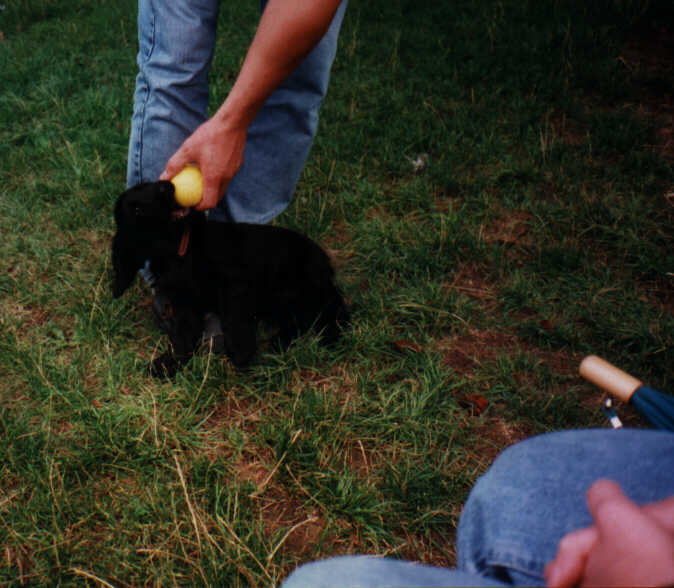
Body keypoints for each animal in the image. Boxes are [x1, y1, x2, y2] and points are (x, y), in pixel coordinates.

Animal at [111, 180, 350, 376]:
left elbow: (233, 315)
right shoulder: (182, 300)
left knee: (331, 307)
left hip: (297, 286)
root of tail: (323, 261)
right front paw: (170, 362)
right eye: (137, 209)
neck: (179, 249)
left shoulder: (235, 281)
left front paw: (241, 350)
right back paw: (280, 342)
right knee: (300, 319)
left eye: (149, 185)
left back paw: (330, 337)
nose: (165, 185)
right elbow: (184, 333)